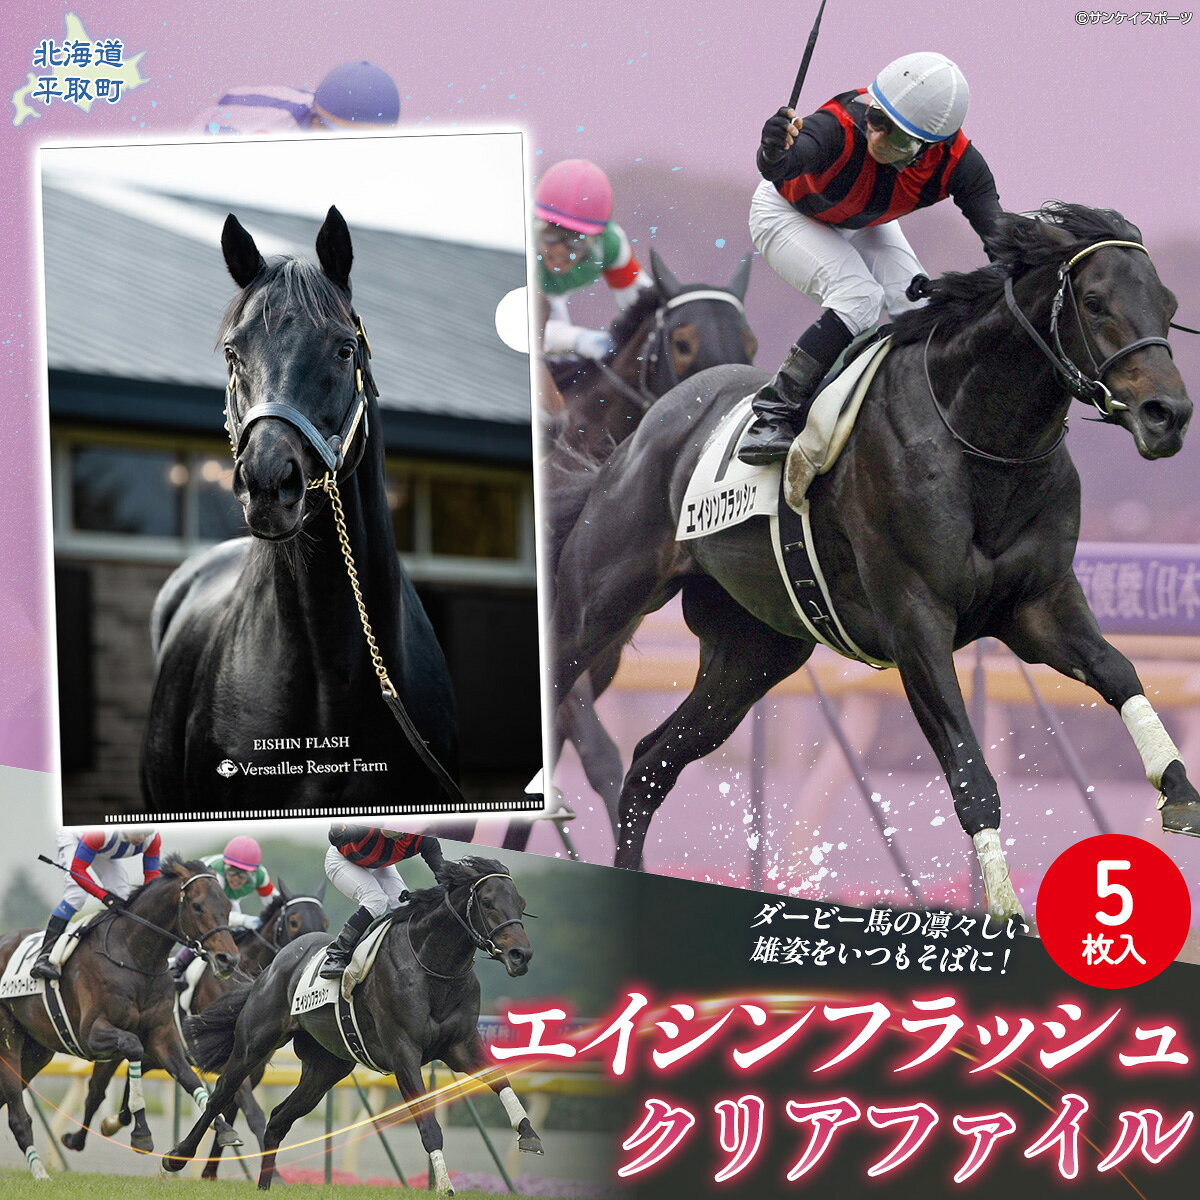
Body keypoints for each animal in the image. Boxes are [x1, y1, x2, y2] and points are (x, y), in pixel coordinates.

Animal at [0, 856, 242, 1177]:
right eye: (198, 905)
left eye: (227, 905)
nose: (228, 959)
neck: (135, 956)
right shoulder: (92, 1033)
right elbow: (132, 1047)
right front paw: (141, 1133)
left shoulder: (162, 1035)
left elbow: (189, 1077)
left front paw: (223, 1128)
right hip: (9, 1045)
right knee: (18, 1116)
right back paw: (40, 1172)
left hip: (36, 1053)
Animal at [67, 880, 328, 1178]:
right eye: (294, 921)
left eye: (324, 920)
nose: (313, 960)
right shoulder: (235, 1061)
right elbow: (252, 1113)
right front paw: (272, 1174)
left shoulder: (254, 1068)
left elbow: (231, 1108)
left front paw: (210, 1171)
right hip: (116, 1047)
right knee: (96, 1092)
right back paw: (82, 1135)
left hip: (155, 1052)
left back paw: (117, 1120)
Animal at [162, 857, 542, 1193]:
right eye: (488, 902)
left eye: (521, 903)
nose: (521, 955)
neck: (434, 968)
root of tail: (274, 965)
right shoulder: (404, 1053)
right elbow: (428, 1124)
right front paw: (446, 1186)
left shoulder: (460, 1046)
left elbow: (500, 1079)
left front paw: (528, 1133)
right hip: (254, 1044)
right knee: (222, 1095)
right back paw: (177, 1157)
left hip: (326, 1067)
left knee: (279, 1117)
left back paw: (266, 1184)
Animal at [550, 203, 1200, 916]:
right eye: (1094, 301)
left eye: (1169, 305)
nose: (1167, 414)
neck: (979, 439)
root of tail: (643, 430)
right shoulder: (916, 622)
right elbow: (972, 777)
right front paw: (1003, 910)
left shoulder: (1039, 607)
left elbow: (1119, 673)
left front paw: (1178, 788)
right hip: (599, 601)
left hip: (754, 653)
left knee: (649, 766)